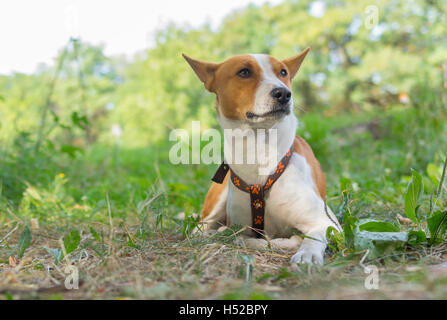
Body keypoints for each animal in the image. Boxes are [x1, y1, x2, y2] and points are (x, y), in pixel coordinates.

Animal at [184, 48, 342, 264]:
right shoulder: (239, 224)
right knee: (200, 228)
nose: (283, 93)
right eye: (244, 72)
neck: (258, 150)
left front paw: (307, 254)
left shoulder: (326, 222)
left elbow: (310, 237)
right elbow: (241, 236)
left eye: (283, 72)